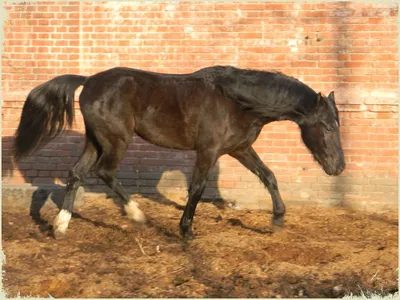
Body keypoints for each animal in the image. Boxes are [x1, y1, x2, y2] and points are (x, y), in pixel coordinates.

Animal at [11, 65, 344, 239]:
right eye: (328, 127)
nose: (339, 168)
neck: (237, 102)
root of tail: (89, 81)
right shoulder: (209, 151)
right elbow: (196, 188)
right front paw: (186, 230)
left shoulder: (239, 149)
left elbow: (269, 176)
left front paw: (277, 221)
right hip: (116, 140)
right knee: (104, 172)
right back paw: (137, 215)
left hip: (95, 140)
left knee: (76, 174)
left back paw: (60, 226)